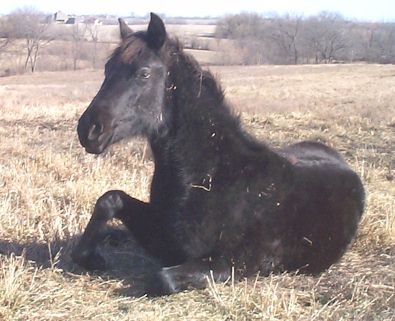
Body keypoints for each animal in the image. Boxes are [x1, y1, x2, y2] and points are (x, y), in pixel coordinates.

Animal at [72, 13, 366, 296]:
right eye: (107, 69)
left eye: (143, 73)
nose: (89, 130)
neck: (212, 174)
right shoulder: (162, 235)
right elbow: (110, 199)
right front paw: (91, 257)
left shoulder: (233, 263)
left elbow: (162, 279)